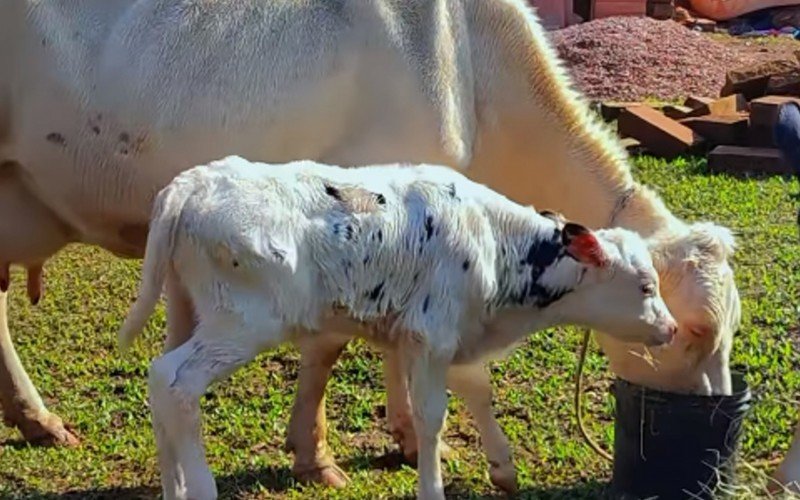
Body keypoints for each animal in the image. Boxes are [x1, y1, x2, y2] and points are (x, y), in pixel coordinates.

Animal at [119, 156, 680, 500]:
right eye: (646, 286)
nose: (671, 330)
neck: (492, 242)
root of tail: (191, 184)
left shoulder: (441, 334)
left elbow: (477, 389)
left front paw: (503, 468)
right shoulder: (431, 335)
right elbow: (432, 417)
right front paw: (433, 486)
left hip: (186, 310)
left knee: (158, 381)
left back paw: (174, 487)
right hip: (241, 324)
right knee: (178, 383)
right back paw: (200, 487)